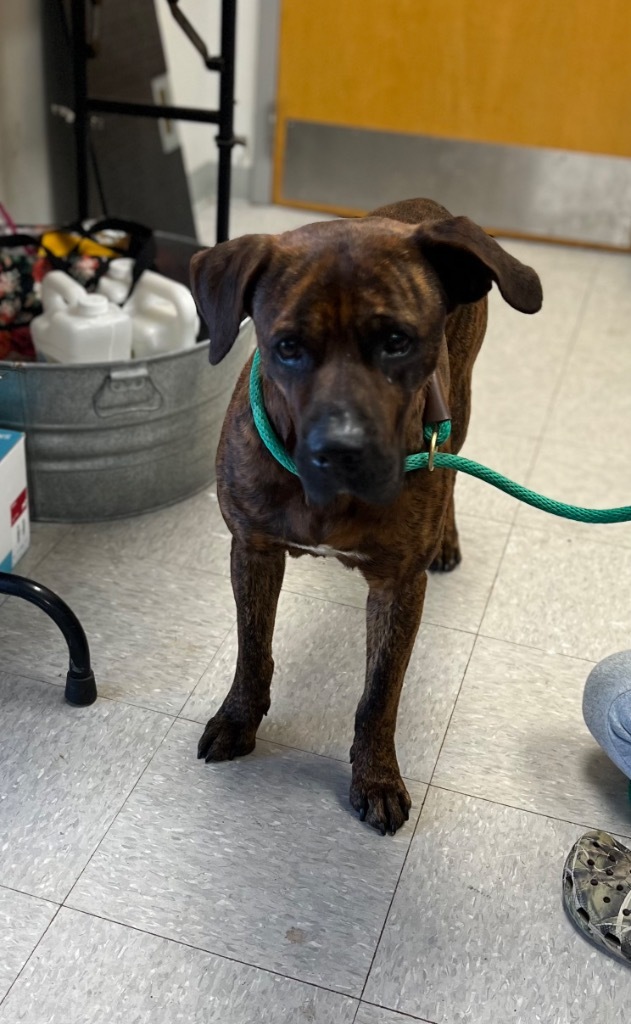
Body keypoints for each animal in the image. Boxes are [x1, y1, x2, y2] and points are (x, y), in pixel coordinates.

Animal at [188, 197, 540, 831]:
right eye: (287, 346)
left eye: (397, 341)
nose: (342, 449)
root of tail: (430, 206)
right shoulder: (253, 550)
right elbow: (252, 649)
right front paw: (238, 719)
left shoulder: (400, 586)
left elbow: (380, 693)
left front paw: (375, 776)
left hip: (461, 404)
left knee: (456, 470)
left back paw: (448, 538)